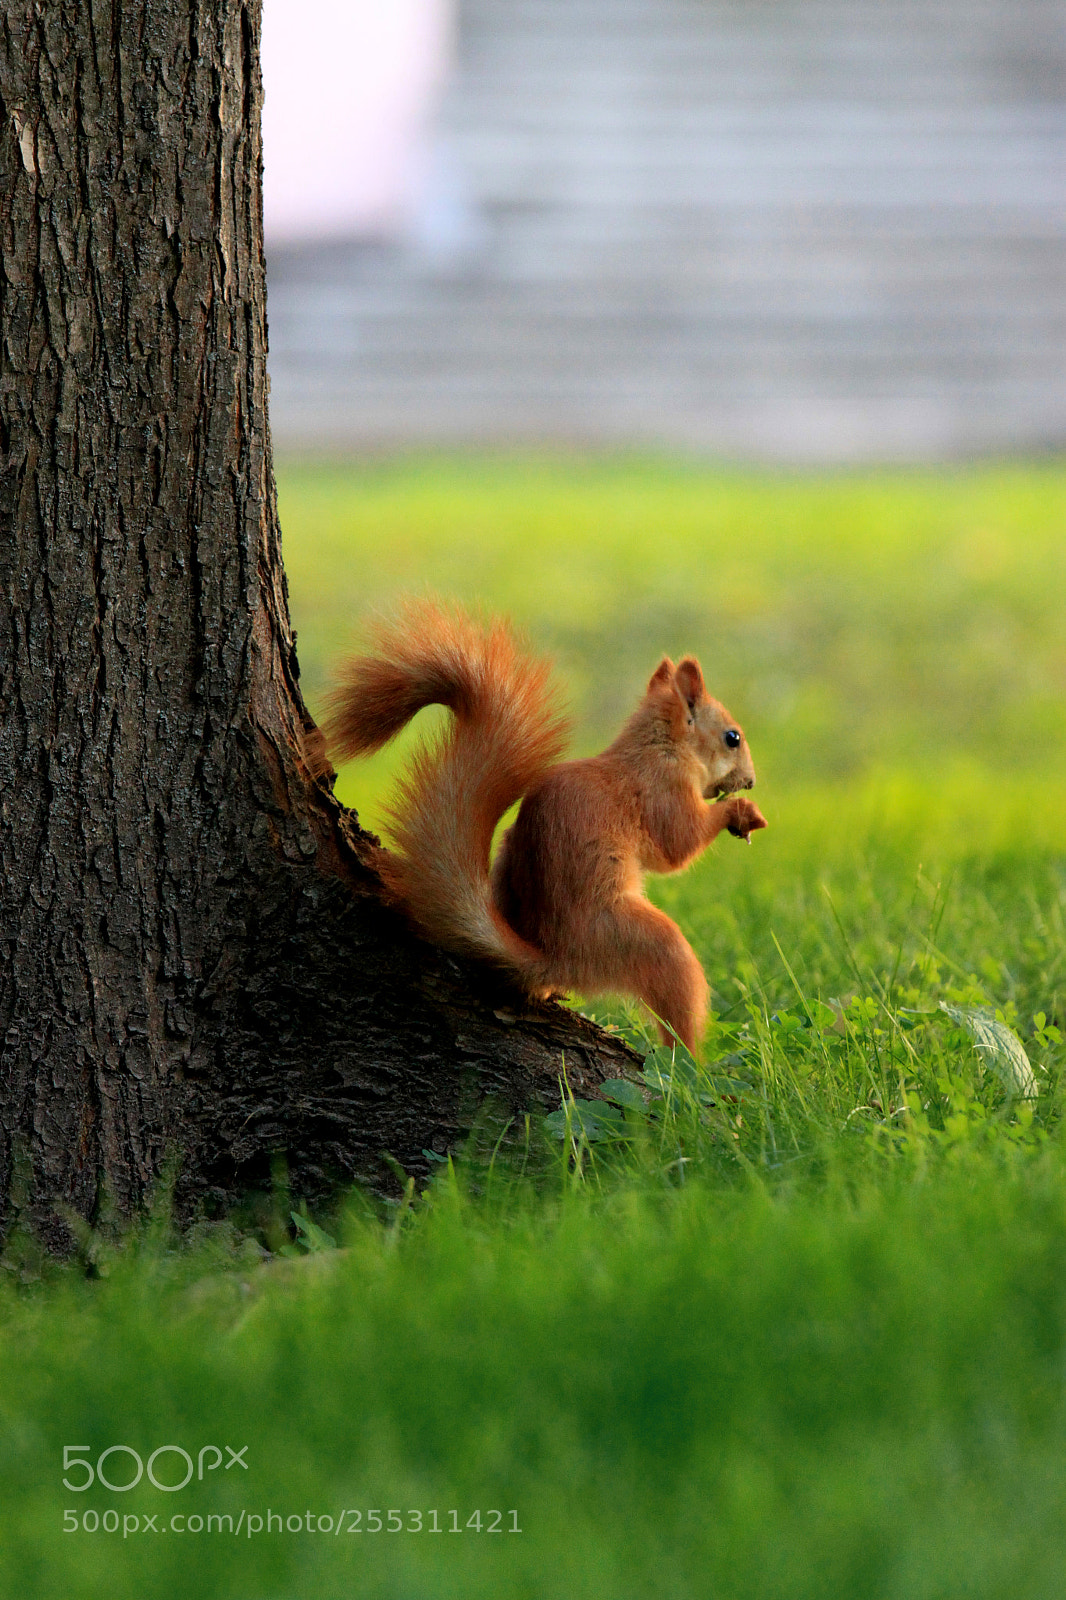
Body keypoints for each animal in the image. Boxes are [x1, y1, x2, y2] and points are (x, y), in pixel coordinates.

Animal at [323, 600, 766, 1054]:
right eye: (732, 737)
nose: (750, 781)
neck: (658, 747)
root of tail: (555, 957)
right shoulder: (663, 791)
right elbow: (678, 847)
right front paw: (740, 811)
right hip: (642, 944)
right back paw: (692, 1062)